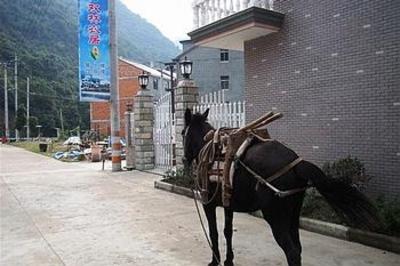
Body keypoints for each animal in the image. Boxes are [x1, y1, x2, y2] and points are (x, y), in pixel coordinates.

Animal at [183, 108, 380, 266]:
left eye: (183, 132)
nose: (185, 159)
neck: (209, 147)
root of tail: (296, 163)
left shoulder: (208, 203)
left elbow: (214, 233)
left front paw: (214, 261)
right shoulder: (228, 204)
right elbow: (227, 232)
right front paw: (229, 260)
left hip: (275, 216)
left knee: (291, 252)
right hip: (293, 212)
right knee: (298, 248)